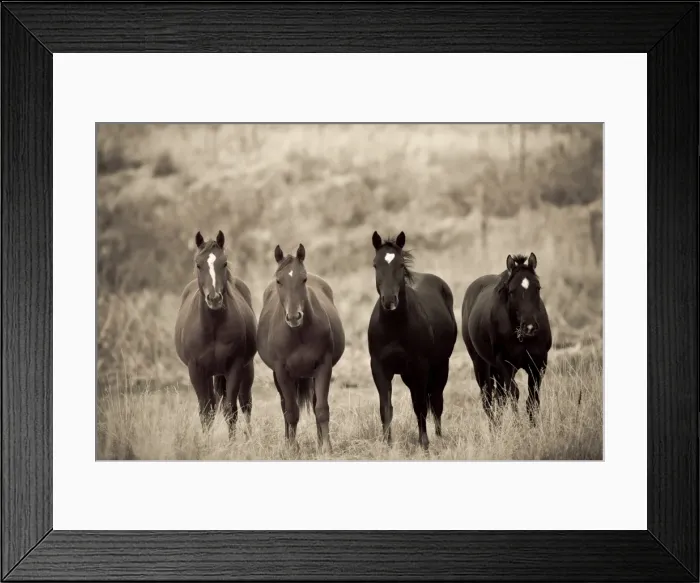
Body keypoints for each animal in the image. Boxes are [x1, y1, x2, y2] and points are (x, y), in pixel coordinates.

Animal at [174, 230, 258, 437]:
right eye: (198, 264)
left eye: (224, 263)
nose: (214, 298)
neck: (213, 328)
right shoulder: (196, 370)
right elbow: (206, 411)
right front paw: (207, 442)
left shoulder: (235, 366)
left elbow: (230, 410)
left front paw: (232, 442)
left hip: (247, 369)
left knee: (245, 403)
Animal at [257, 243, 345, 452]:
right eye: (279, 281)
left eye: (303, 279)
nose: (294, 316)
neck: (298, 334)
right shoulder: (282, 372)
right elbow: (291, 411)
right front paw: (291, 448)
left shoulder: (323, 367)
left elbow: (321, 409)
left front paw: (326, 448)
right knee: (285, 406)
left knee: (314, 404)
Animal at [367, 231, 458, 450]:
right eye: (375, 264)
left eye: (400, 264)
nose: (389, 300)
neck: (395, 328)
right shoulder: (380, 368)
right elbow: (386, 408)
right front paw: (387, 444)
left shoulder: (420, 368)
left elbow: (421, 407)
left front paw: (424, 443)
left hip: (441, 366)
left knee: (436, 401)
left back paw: (439, 437)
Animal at [461, 252, 552, 426]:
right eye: (512, 291)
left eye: (537, 288)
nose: (529, 327)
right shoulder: (504, 364)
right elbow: (514, 394)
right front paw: (518, 426)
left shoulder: (538, 363)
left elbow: (532, 399)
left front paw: (534, 427)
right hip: (481, 364)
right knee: (489, 400)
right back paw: (495, 428)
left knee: (499, 398)